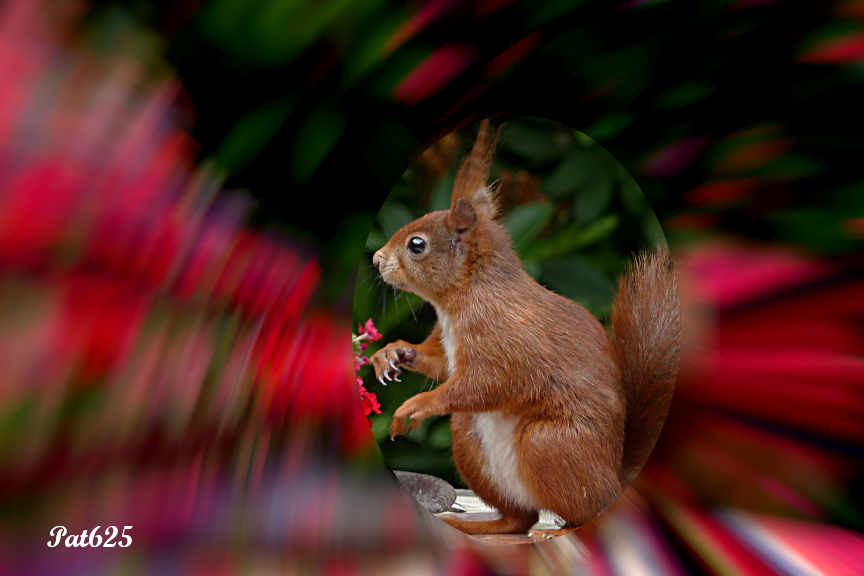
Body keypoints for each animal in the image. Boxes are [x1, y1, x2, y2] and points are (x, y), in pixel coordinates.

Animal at [370, 119, 680, 535]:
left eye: (416, 245)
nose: (375, 259)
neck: (465, 296)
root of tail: (615, 481)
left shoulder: (504, 337)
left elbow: (489, 382)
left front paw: (417, 404)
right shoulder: (449, 345)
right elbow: (439, 364)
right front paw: (391, 353)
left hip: (547, 444)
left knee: (580, 510)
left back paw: (558, 528)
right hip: (469, 437)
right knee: (520, 518)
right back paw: (484, 526)